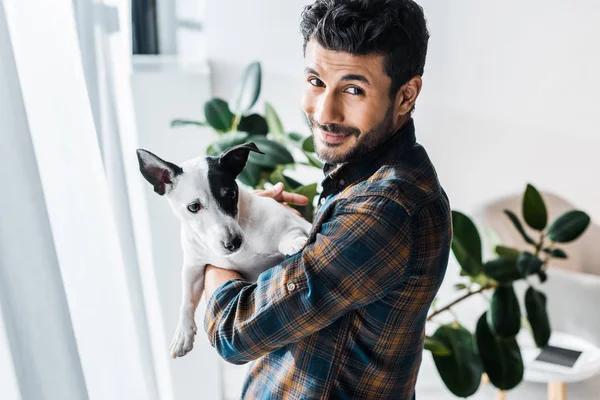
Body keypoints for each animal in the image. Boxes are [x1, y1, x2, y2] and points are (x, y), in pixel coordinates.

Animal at [137, 142, 314, 358]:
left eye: (230, 194)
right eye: (194, 207)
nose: (233, 243)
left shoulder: (289, 222)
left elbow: (291, 233)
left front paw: (294, 243)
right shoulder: (193, 267)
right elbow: (187, 299)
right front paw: (183, 334)